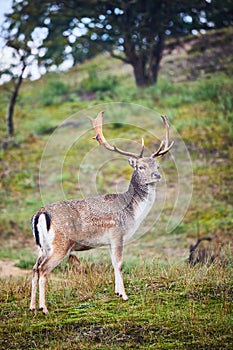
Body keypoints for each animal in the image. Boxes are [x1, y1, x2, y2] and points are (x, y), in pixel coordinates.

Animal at [30, 110, 173, 314]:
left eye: (157, 166)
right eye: (141, 166)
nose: (157, 175)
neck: (132, 213)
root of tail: (40, 214)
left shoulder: (109, 241)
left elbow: (113, 263)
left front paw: (117, 292)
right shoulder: (117, 234)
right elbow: (119, 264)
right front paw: (125, 296)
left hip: (42, 246)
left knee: (34, 268)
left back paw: (32, 307)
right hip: (61, 245)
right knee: (43, 269)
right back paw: (44, 308)